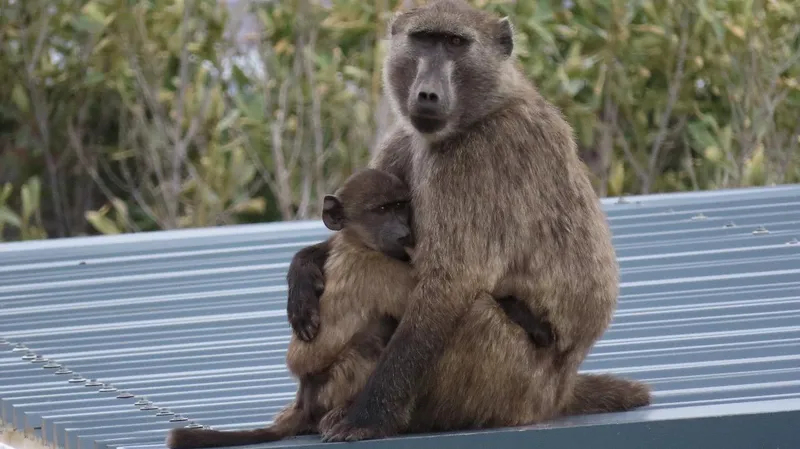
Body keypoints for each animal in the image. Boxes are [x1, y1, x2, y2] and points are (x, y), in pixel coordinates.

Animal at [166, 168, 557, 449]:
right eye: (381, 210)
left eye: (401, 206)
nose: (403, 232)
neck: (357, 242)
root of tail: (304, 402)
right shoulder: (379, 268)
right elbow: (442, 298)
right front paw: (534, 322)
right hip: (330, 387)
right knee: (370, 341)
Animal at [285, 0, 651, 442]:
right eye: (425, 40)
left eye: (455, 43)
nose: (427, 93)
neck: (486, 109)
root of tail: (558, 394)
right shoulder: (403, 139)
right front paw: (303, 273)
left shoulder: (478, 159)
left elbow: (450, 282)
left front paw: (367, 417)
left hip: (513, 384)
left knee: (471, 313)